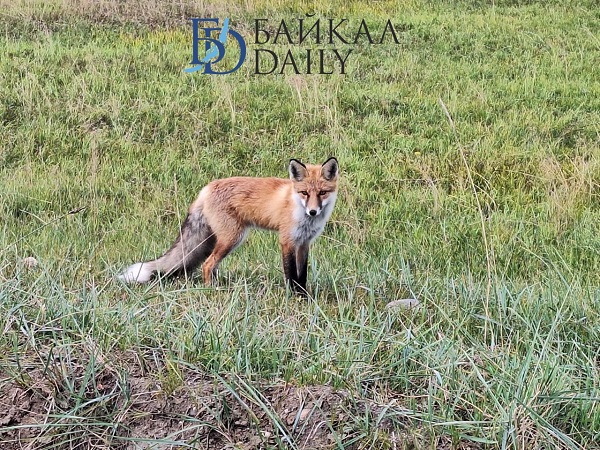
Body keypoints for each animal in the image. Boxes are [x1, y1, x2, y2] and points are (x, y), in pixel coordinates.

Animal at [118, 157, 339, 293]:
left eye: (322, 193)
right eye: (304, 193)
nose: (313, 211)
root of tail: (206, 188)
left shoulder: (304, 243)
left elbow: (302, 275)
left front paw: (304, 297)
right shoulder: (287, 241)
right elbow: (291, 274)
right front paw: (293, 297)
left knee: (211, 264)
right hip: (232, 238)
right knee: (207, 264)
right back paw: (211, 290)